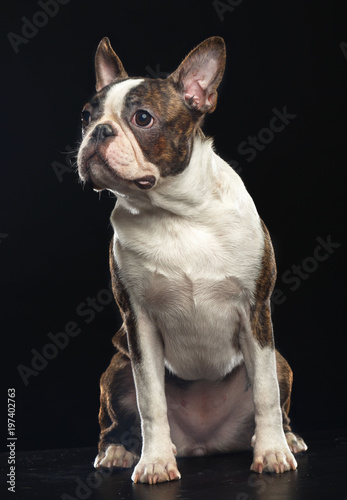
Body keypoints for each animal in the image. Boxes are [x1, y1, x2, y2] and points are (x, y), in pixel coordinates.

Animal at [77, 36, 308, 484]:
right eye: (85, 117)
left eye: (142, 118)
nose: (98, 131)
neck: (177, 214)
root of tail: (205, 443)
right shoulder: (139, 324)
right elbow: (151, 402)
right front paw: (154, 461)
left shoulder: (255, 312)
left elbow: (267, 394)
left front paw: (272, 452)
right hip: (117, 365)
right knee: (113, 420)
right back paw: (118, 450)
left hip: (280, 360)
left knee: (274, 393)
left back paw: (286, 439)